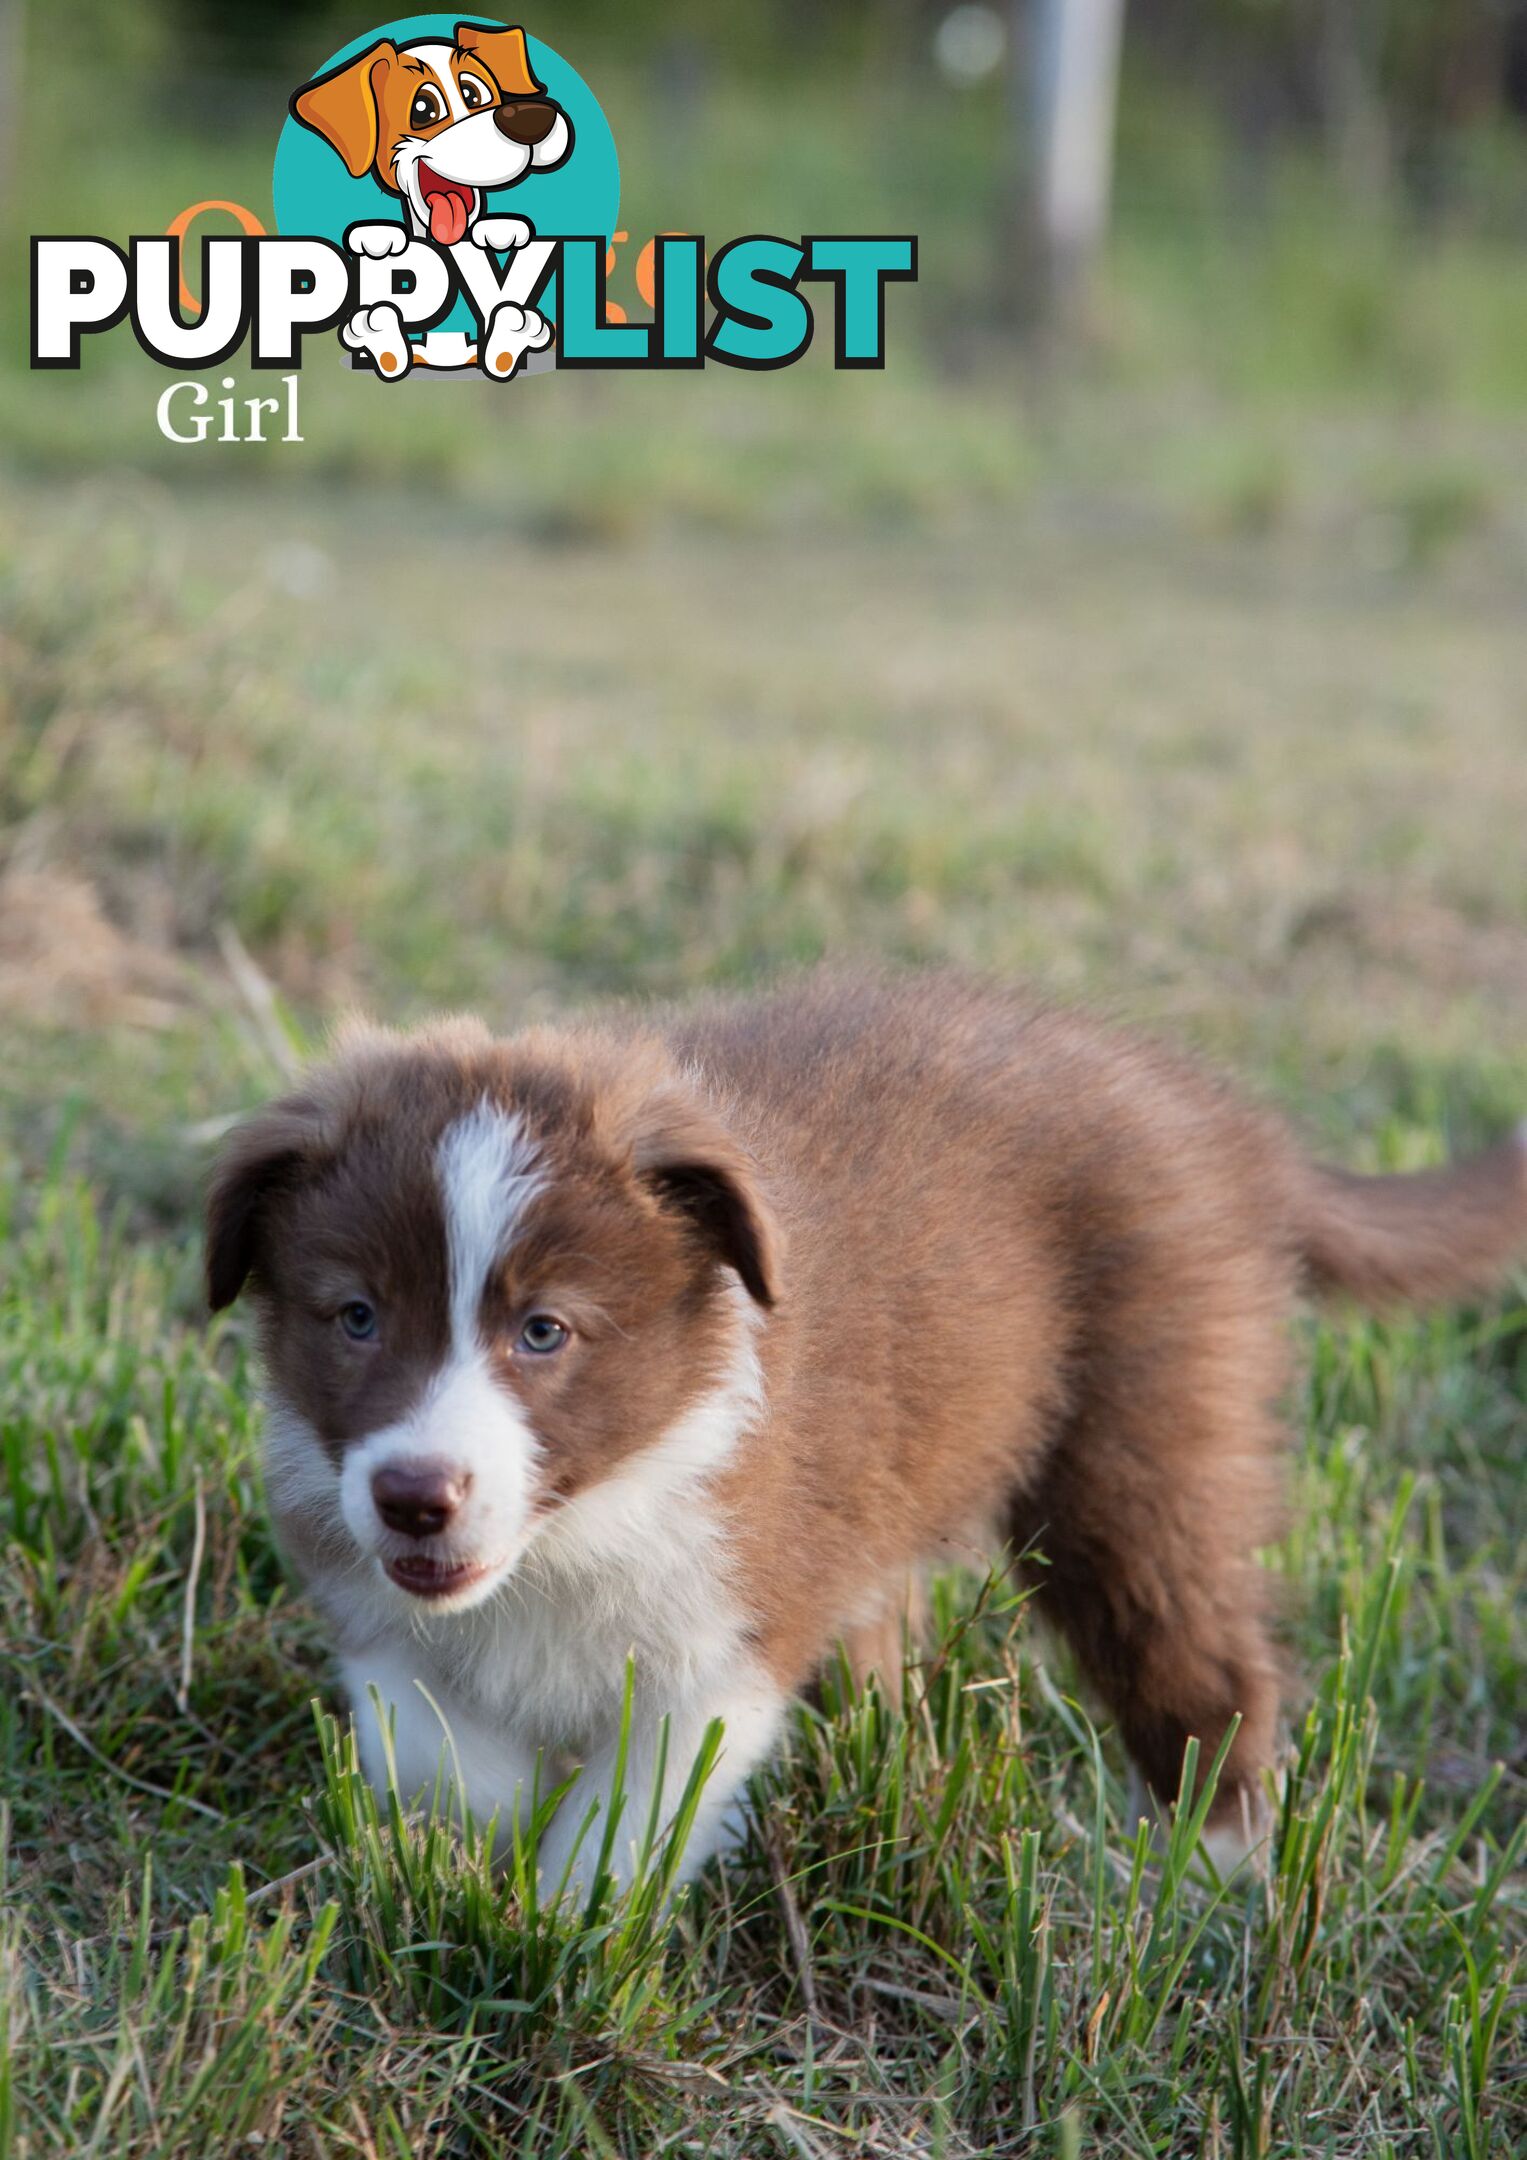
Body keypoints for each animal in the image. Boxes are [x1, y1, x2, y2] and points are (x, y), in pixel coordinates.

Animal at [206, 976, 1527, 1892]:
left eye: (544, 1331)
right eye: (357, 1316)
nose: (416, 1497)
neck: (580, 1528)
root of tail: (1208, 1113)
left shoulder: (730, 1620)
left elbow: (633, 1814)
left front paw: (557, 1915)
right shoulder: (366, 1593)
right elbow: (429, 1745)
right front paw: (490, 1841)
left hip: (1141, 1432)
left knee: (1193, 1650)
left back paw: (1211, 1876)